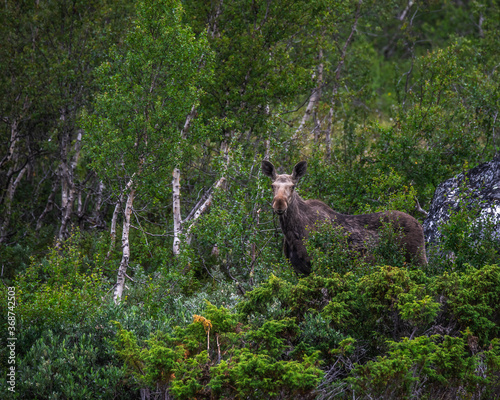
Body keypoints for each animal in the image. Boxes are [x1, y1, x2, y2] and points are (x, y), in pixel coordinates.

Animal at [260, 159, 428, 276]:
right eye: (272, 186)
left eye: (293, 186)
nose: (279, 205)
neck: (291, 233)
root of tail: (420, 225)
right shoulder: (297, 270)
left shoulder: (317, 263)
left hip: (418, 258)